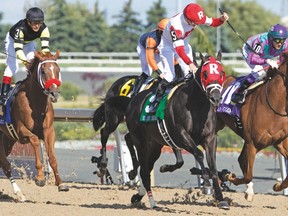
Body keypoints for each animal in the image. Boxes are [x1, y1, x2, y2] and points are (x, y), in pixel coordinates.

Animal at [0, 50, 68, 201]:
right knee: (5, 164)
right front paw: (40, 178)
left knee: (4, 163)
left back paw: (19, 193)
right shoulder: (21, 131)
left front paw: (60, 183)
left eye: (58, 69)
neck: (36, 104)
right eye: (42, 71)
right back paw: (19, 193)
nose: (54, 93)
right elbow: (35, 140)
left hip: (7, 140)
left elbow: (52, 156)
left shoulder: (49, 131)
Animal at [125, 52, 230, 209]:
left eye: (222, 73)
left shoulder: (210, 138)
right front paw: (205, 182)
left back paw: (138, 196)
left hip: (155, 145)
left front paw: (221, 198)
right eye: (205, 73)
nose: (216, 98)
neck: (196, 105)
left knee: (147, 169)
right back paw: (152, 202)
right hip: (141, 142)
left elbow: (212, 166)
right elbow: (198, 154)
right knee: (142, 169)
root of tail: (134, 100)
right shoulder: (181, 135)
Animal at [216, 49, 288, 200]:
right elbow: (248, 175)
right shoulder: (252, 143)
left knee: (240, 159)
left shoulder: (279, 142)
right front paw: (228, 175)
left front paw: (277, 186)